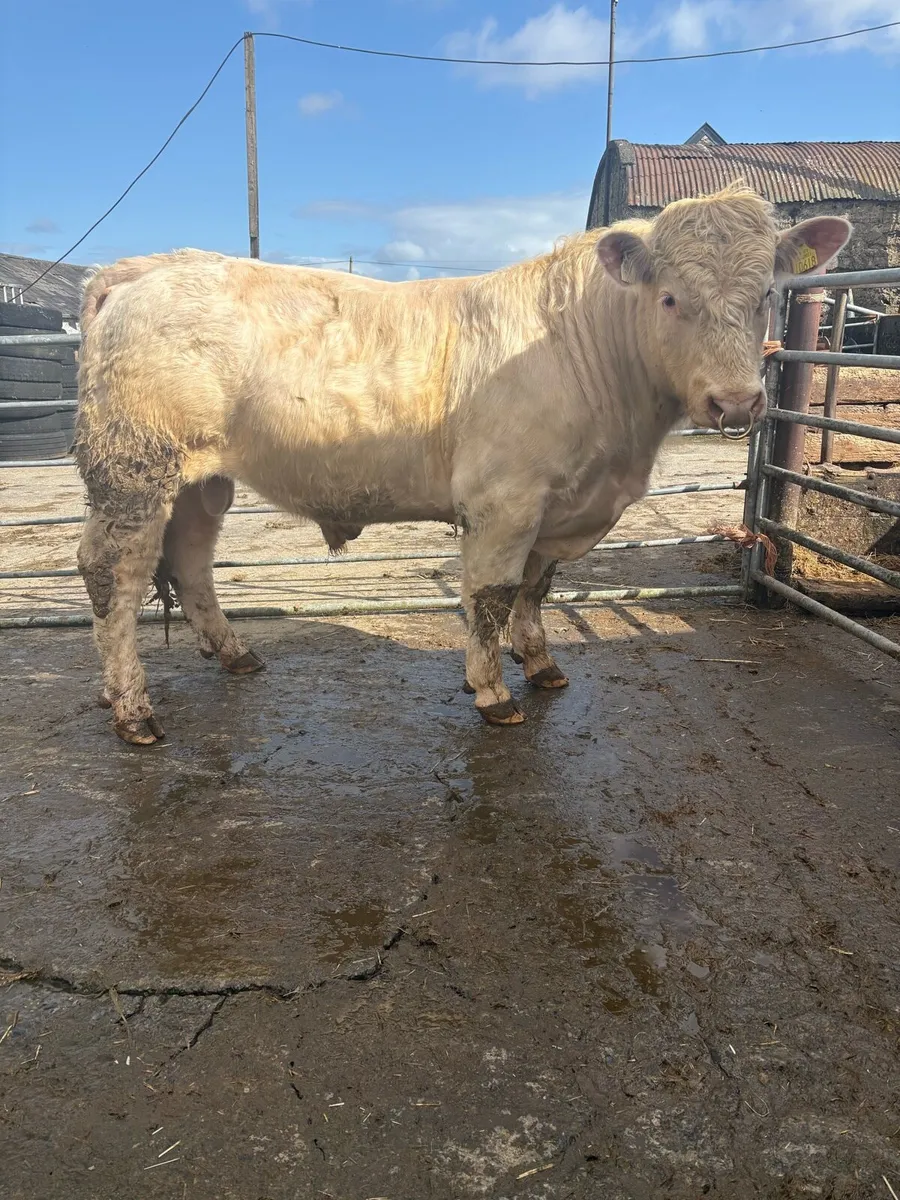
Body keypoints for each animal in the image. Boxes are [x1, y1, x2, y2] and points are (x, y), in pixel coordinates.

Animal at [74, 186, 850, 744]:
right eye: (670, 299)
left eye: (765, 296)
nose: (736, 400)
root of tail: (145, 268)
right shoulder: (503, 499)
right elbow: (492, 595)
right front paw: (493, 691)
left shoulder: (561, 503)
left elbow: (538, 588)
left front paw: (541, 664)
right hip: (134, 468)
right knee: (114, 573)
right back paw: (133, 711)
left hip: (201, 480)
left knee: (191, 560)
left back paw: (234, 653)